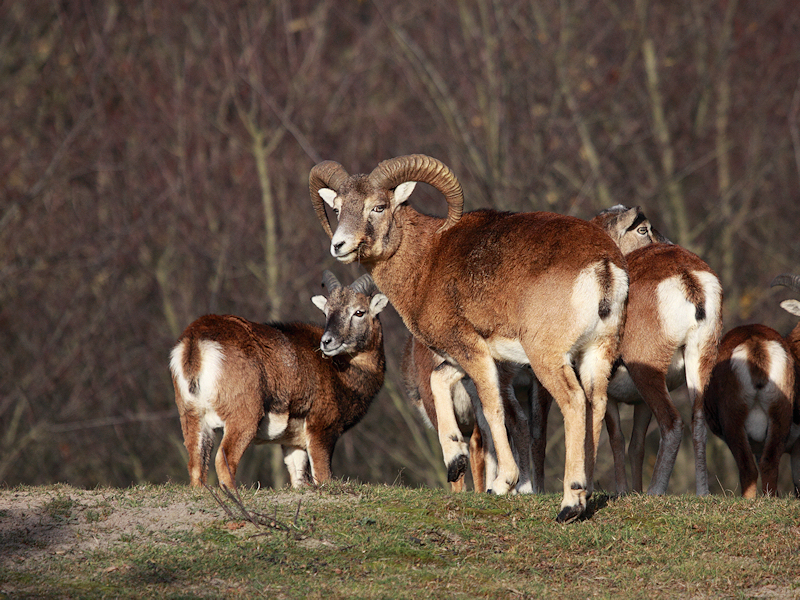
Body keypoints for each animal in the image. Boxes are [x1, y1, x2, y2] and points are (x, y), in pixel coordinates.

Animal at [170, 270, 388, 488]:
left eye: (359, 312)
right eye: (326, 312)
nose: (327, 342)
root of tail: (195, 343)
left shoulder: (292, 444)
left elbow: (299, 479)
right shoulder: (321, 428)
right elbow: (322, 475)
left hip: (192, 415)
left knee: (196, 465)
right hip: (243, 417)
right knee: (225, 460)